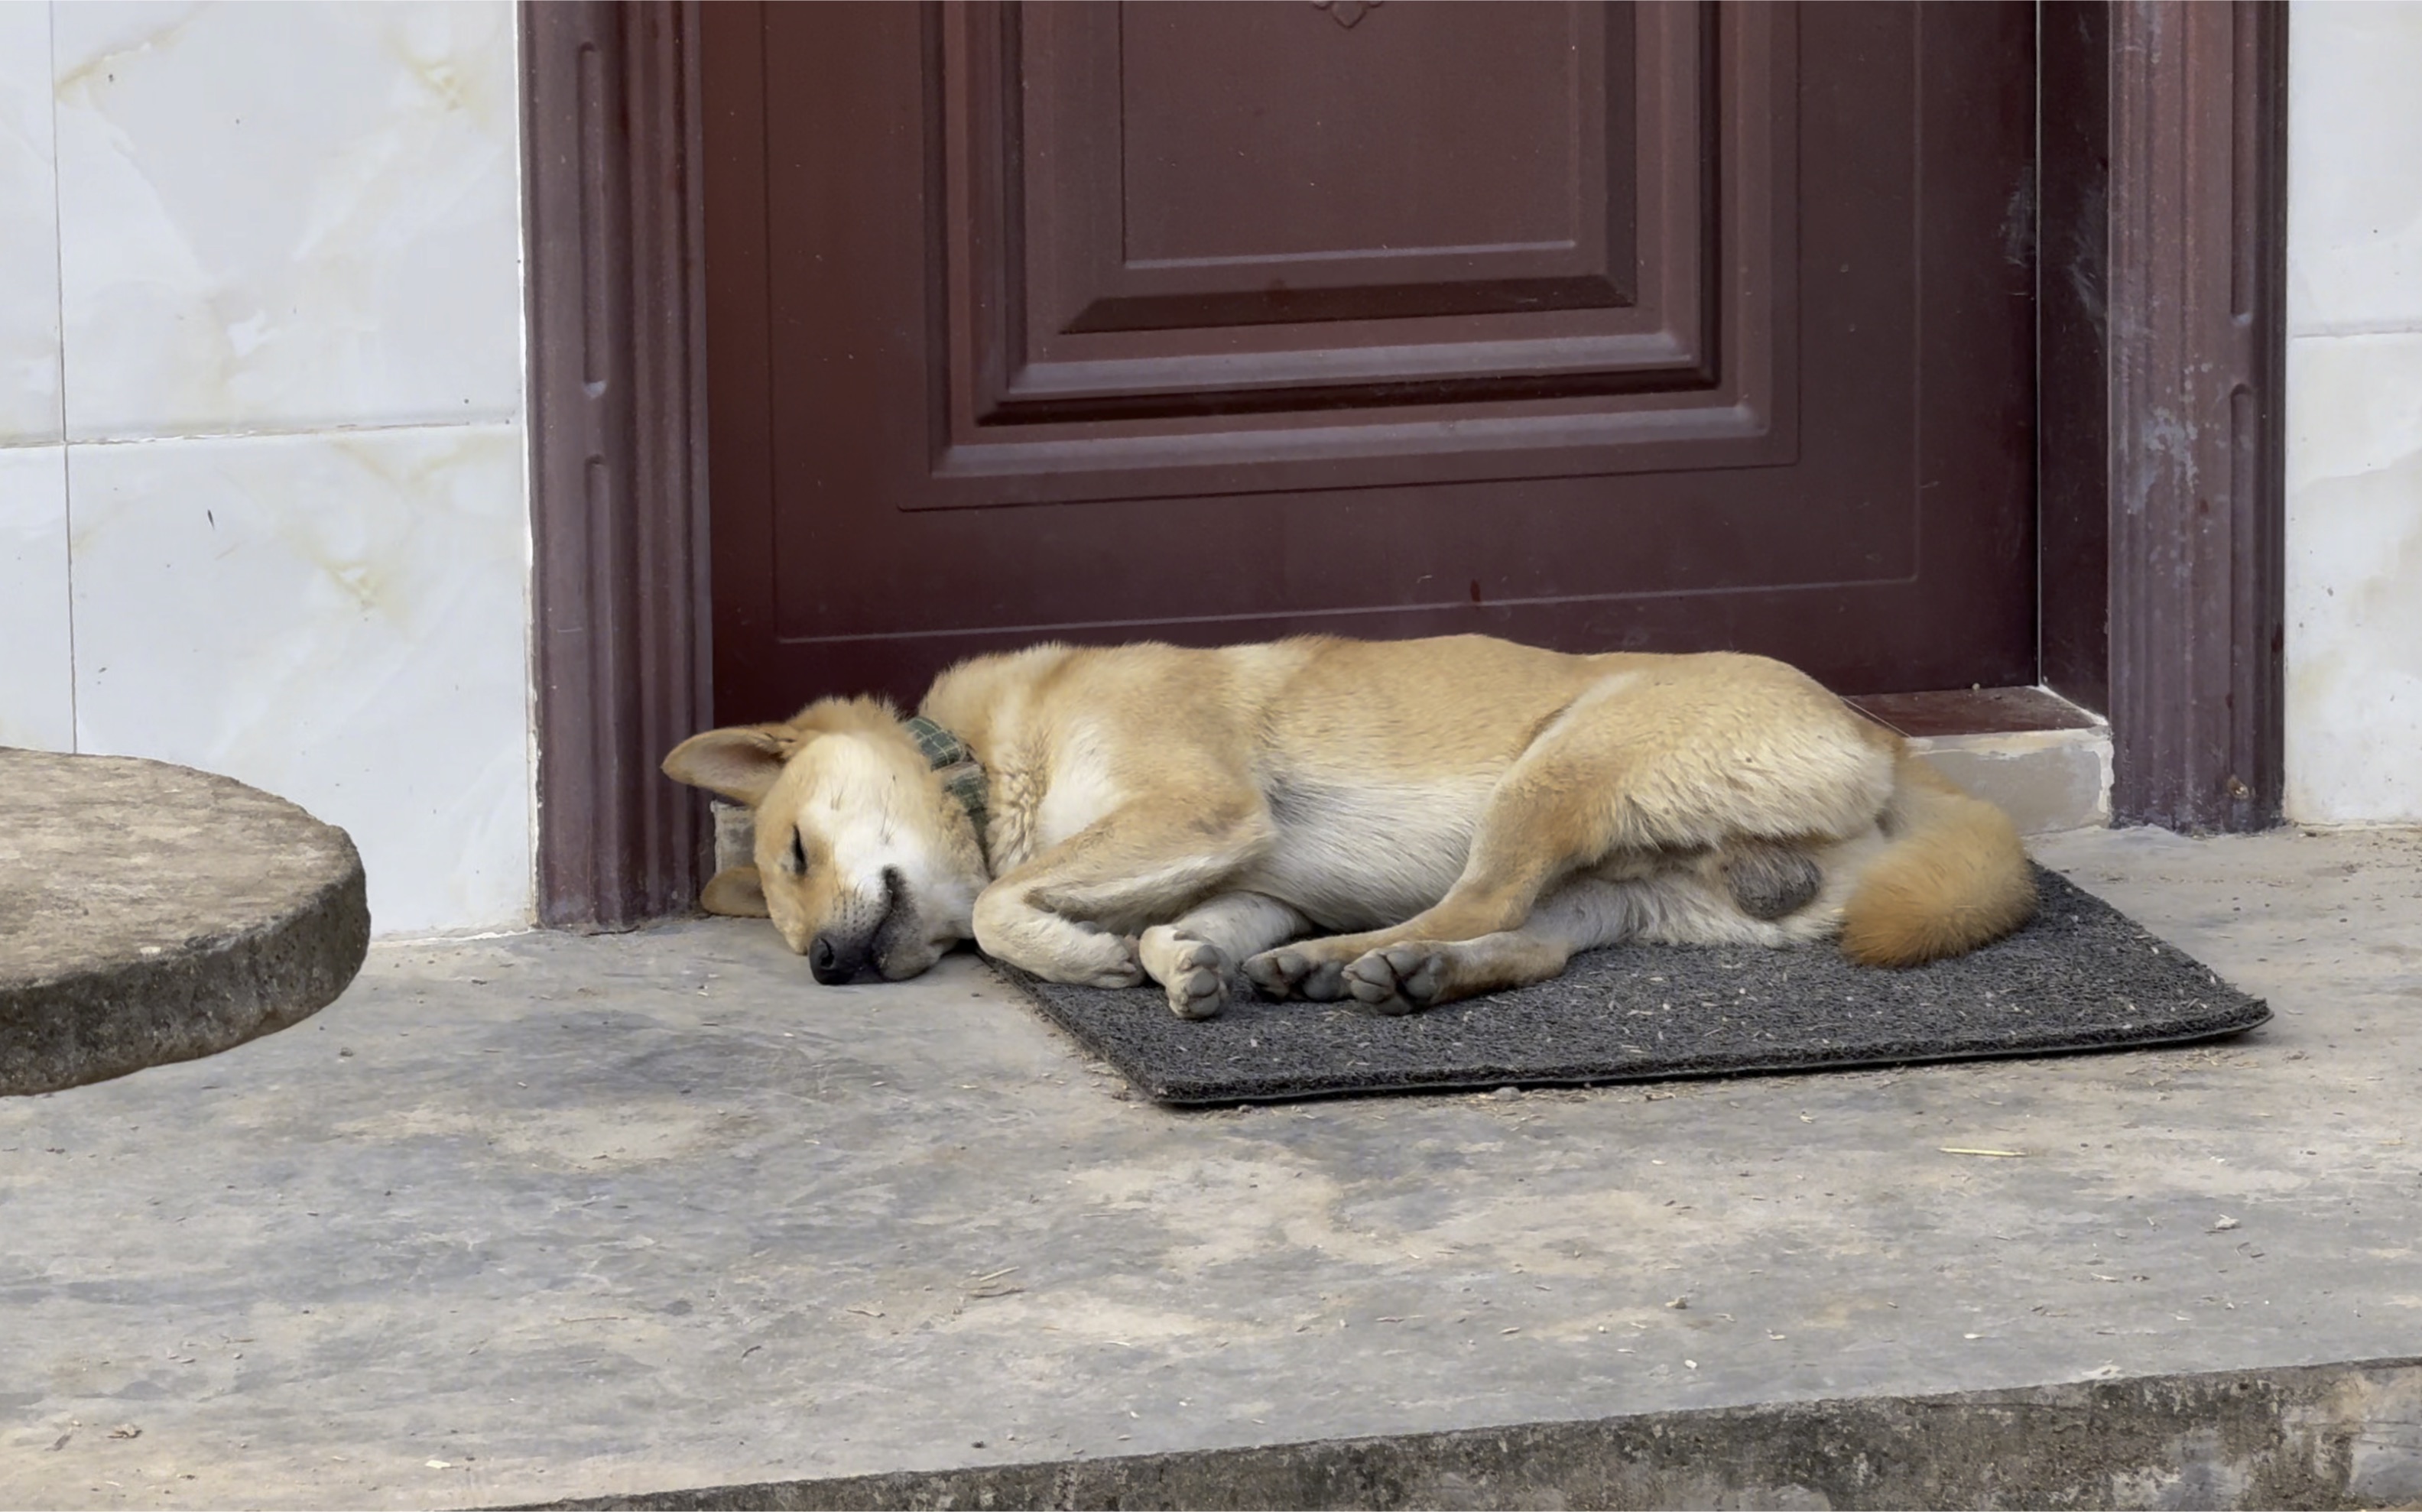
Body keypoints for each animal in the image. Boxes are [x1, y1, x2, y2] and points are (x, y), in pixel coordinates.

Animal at [658, 630, 2024, 1022]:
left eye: (794, 853)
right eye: (786, 908)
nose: (827, 967)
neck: (995, 767)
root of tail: (1884, 739)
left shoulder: (1200, 808)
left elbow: (1000, 906)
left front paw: (1090, 958)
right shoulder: (1251, 871)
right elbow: (1183, 927)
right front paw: (1176, 961)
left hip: (1556, 771)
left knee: (1479, 900)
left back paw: (1348, 962)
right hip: (1618, 884)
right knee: (1518, 939)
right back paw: (1394, 969)